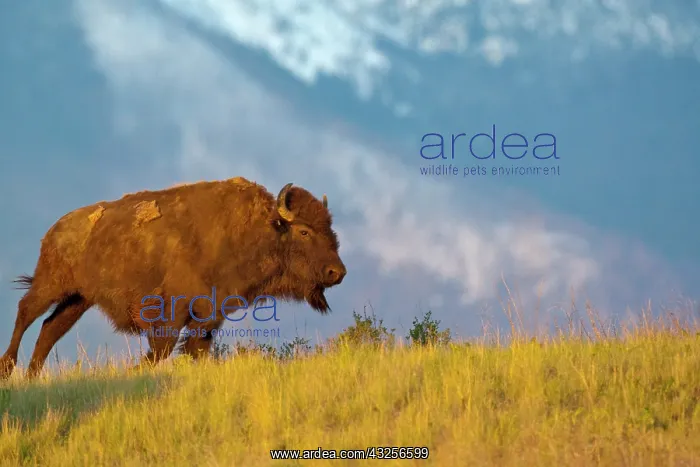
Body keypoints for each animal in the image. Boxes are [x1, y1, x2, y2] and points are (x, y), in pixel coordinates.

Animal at [0, 177, 346, 379]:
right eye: (304, 231)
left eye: (330, 227)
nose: (337, 273)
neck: (263, 229)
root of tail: (55, 229)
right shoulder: (172, 312)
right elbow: (162, 349)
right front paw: (133, 372)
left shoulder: (209, 315)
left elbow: (193, 349)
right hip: (52, 286)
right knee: (26, 313)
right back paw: (8, 369)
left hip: (78, 300)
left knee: (50, 328)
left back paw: (31, 378)